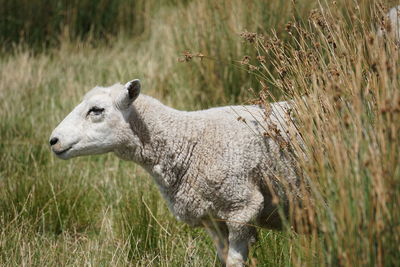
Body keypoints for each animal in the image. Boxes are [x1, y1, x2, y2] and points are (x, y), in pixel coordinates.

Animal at [49, 80, 300, 267]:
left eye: (96, 110)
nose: (53, 140)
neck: (187, 141)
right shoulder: (213, 219)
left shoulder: (241, 208)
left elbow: (234, 262)